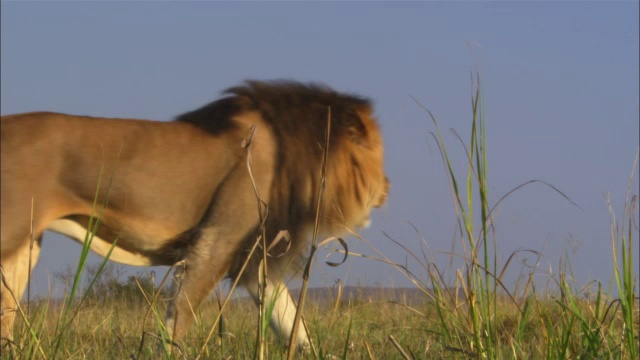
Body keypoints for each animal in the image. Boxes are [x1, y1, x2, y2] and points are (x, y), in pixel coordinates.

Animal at [1, 79, 390, 352]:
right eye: (378, 154)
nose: (388, 187)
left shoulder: (254, 259)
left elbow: (290, 319)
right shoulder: (216, 242)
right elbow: (179, 316)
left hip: (24, 248)